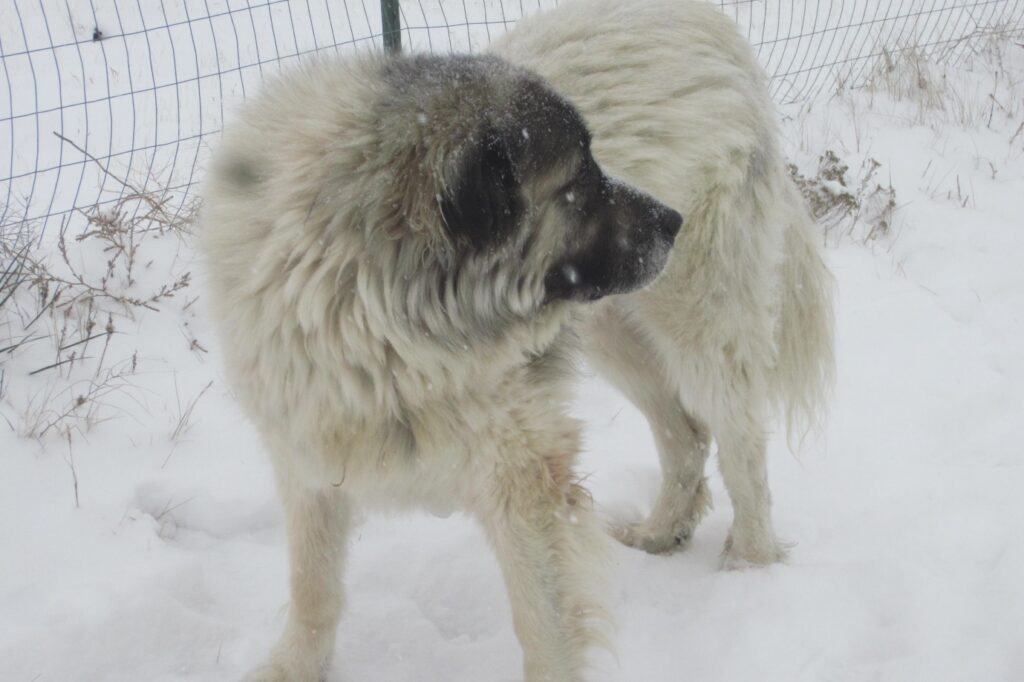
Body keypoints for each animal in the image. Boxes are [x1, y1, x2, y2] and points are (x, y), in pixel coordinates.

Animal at [198, 50, 679, 675]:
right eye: (580, 179)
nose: (674, 222)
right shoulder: (308, 461)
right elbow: (313, 587)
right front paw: (296, 668)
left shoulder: (523, 483)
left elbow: (544, 628)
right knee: (684, 429)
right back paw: (666, 532)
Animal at [491, 0, 835, 565]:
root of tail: (720, 31)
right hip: (613, 330)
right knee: (687, 436)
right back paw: (658, 535)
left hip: (699, 314)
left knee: (739, 436)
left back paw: (749, 563)